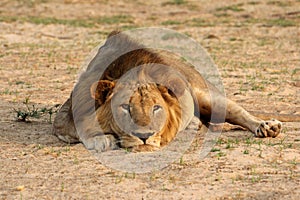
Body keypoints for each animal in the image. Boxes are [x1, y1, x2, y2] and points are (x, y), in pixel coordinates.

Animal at [52, 30, 290, 152]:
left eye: (156, 108)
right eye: (125, 108)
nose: (145, 136)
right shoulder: (64, 116)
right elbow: (79, 127)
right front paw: (101, 139)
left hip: (204, 93)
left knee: (240, 113)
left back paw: (266, 126)